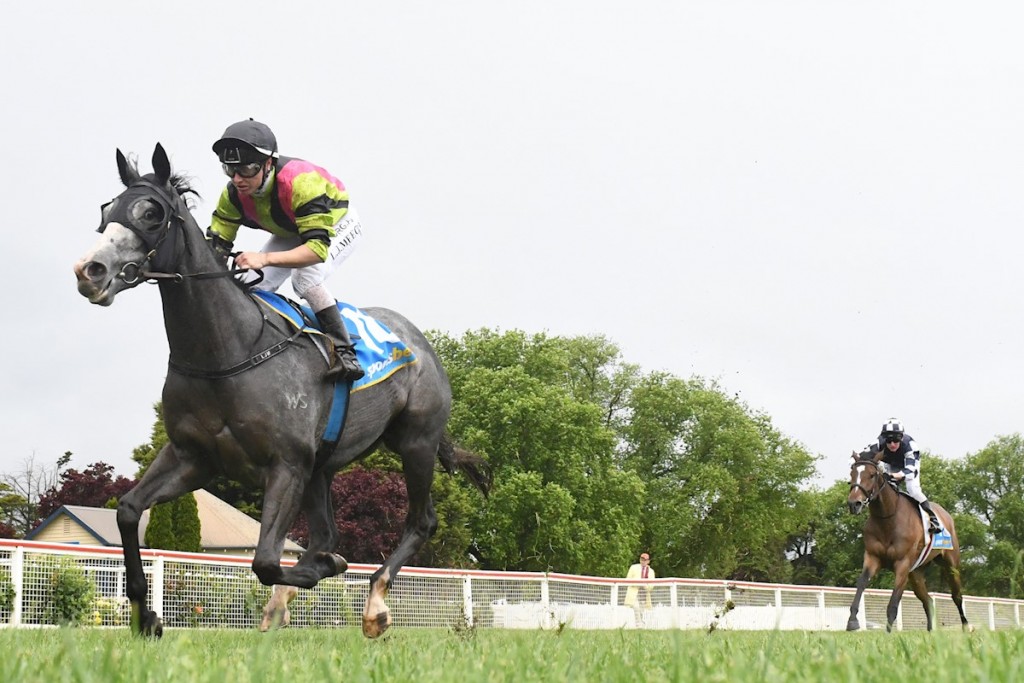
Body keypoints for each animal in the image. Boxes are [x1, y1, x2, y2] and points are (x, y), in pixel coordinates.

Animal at [74, 144, 489, 643]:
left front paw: (324, 571)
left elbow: (267, 562)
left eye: (151, 213)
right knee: (326, 534)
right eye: (106, 210)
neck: (227, 350)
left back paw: (374, 604)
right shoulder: (193, 457)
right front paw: (146, 616)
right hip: (321, 469)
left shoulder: (286, 465)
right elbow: (128, 510)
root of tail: (419, 340)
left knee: (420, 521)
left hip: (416, 442)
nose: (89, 271)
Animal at [847, 450, 966, 634]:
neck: (887, 519)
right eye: (852, 474)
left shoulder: (902, 564)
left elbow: (894, 602)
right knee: (928, 600)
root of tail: (946, 514)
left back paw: (967, 627)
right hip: (916, 573)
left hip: (951, 564)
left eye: (872, 475)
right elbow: (861, 583)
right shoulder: (872, 557)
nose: (854, 503)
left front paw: (888, 634)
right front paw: (852, 621)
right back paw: (931, 632)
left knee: (957, 596)